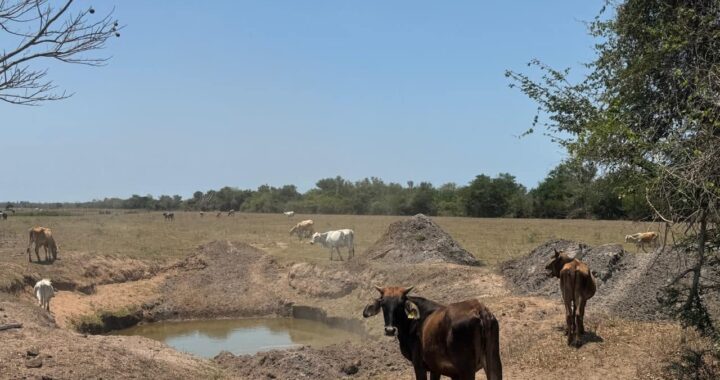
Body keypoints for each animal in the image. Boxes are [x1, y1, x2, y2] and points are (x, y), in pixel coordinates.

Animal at [362, 286, 504, 378]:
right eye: (383, 304)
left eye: (400, 304)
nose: (390, 330)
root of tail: (479, 309)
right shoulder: (437, 369)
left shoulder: (419, 366)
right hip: (494, 363)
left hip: (467, 368)